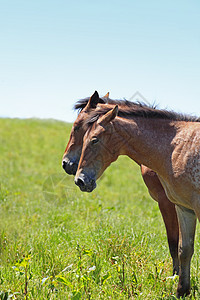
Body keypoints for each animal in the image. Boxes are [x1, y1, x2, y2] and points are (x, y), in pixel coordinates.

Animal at [74, 92, 200, 298]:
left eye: (94, 139)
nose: (80, 180)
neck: (176, 147)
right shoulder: (184, 208)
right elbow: (184, 249)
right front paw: (182, 290)